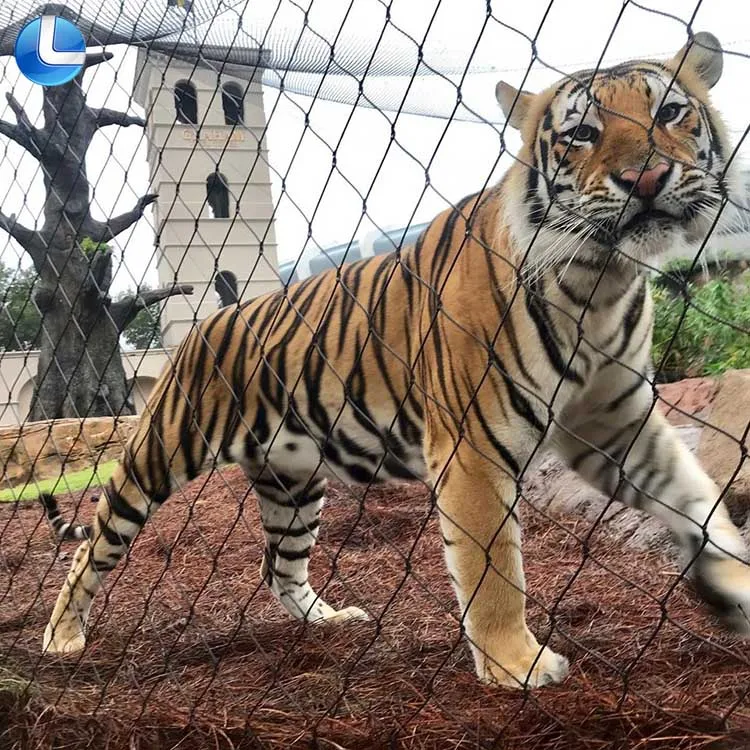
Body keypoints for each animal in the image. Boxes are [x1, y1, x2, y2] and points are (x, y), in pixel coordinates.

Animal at [40, 31, 750, 690]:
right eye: (582, 133)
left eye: (670, 113)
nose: (646, 178)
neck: (598, 281)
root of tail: (198, 327)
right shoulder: (472, 450)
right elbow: (495, 572)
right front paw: (517, 665)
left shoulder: (618, 423)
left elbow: (697, 498)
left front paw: (735, 582)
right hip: (158, 455)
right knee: (90, 551)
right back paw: (61, 638)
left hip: (294, 484)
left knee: (278, 567)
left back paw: (329, 621)